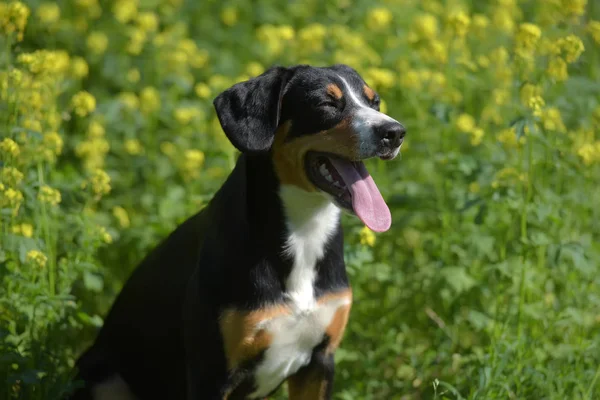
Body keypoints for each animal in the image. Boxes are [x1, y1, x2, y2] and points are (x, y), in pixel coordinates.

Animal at [70, 64, 408, 398]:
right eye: (326, 103)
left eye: (374, 102)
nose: (395, 132)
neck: (304, 231)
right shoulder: (212, 373)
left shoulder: (319, 363)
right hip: (104, 376)